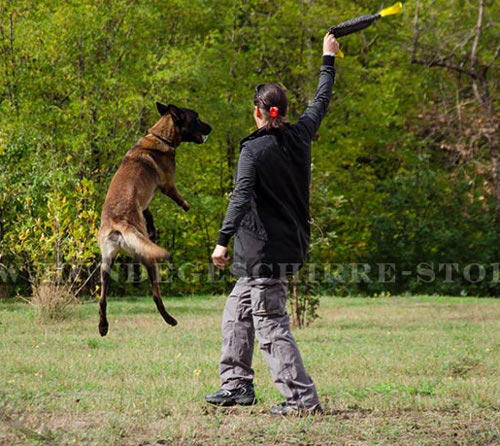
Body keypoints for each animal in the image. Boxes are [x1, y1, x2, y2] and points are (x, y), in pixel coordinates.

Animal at [97, 103, 211, 336]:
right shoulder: (168, 183)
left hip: (106, 264)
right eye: (196, 118)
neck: (160, 137)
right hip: (149, 258)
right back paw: (170, 319)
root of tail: (118, 223)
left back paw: (103, 326)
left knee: (102, 298)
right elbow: (176, 194)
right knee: (155, 294)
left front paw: (152, 226)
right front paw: (186, 205)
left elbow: (147, 211)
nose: (210, 127)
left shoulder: (145, 202)